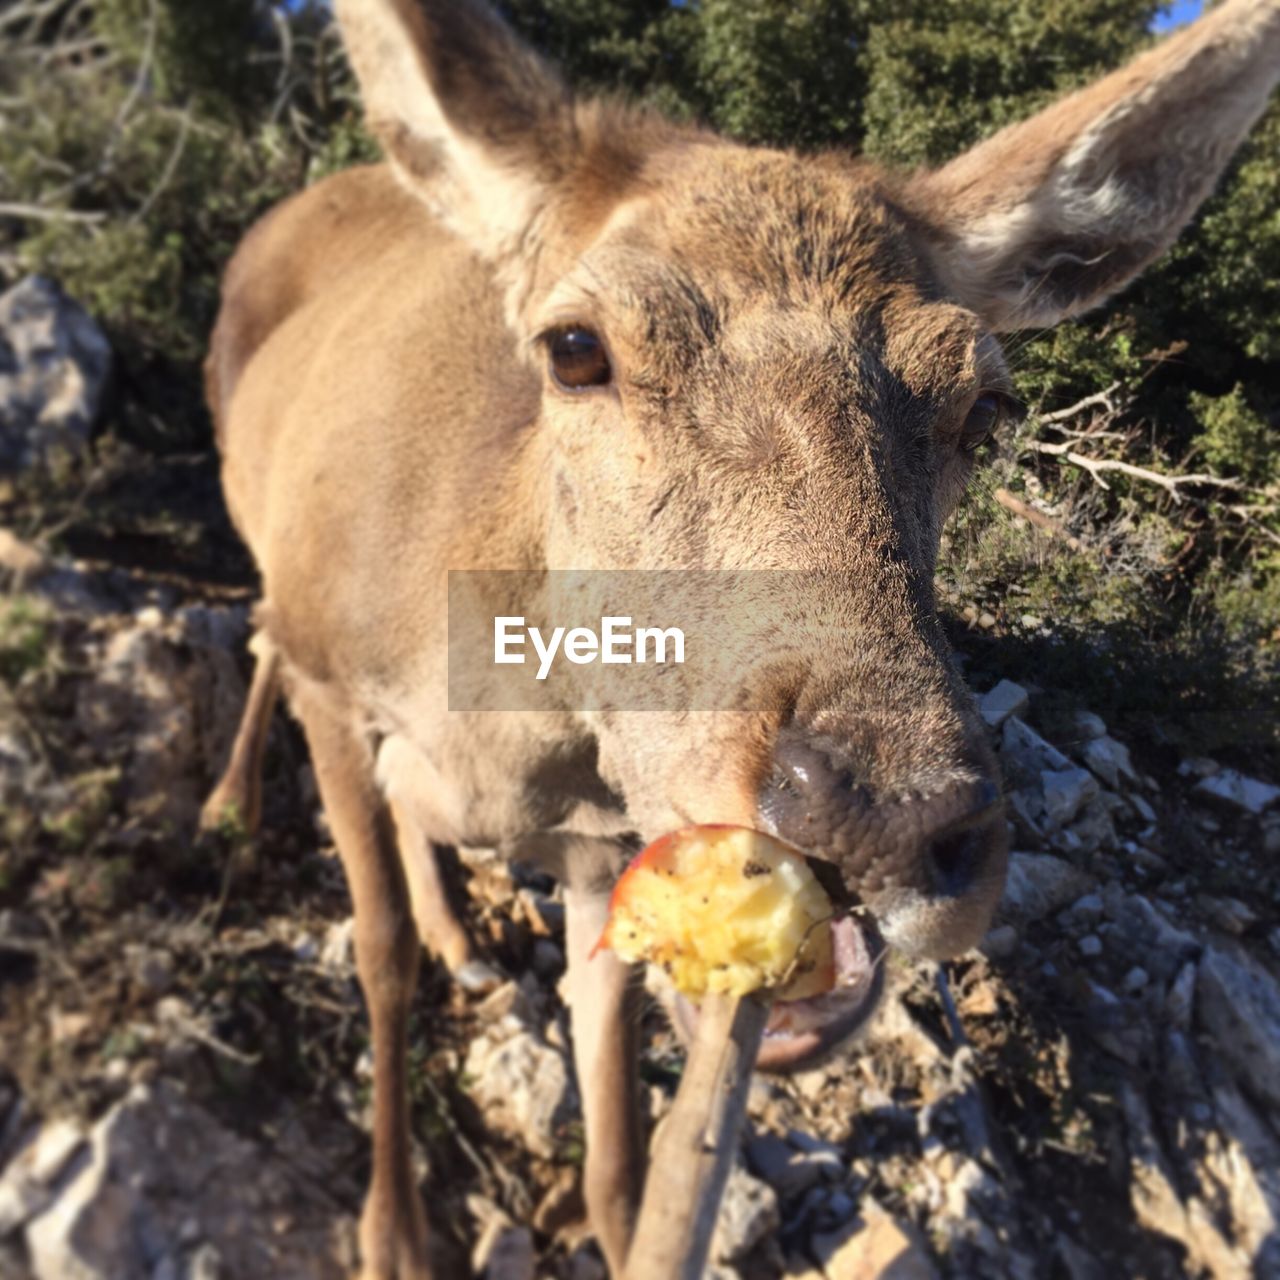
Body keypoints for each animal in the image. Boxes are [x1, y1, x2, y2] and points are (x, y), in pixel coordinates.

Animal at [202, 0, 1280, 1274]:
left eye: (986, 402)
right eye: (574, 347)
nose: (879, 815)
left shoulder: (601, 839)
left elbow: (614, 1089)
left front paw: (618, 1217)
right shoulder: (332, 670)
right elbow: (373, 950)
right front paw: (394, 1231)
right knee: (257, 632)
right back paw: (231, 804)